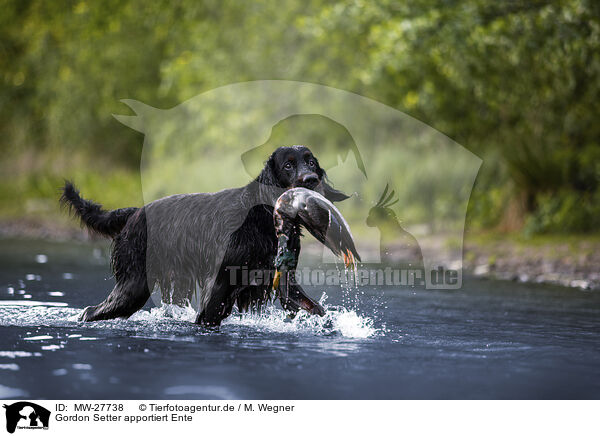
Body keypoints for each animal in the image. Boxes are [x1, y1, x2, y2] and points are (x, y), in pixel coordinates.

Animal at [61, 145, 346, 326]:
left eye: (311, 162)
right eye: (288, 165)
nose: (311, 180)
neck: (265, 216)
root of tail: (135, 212)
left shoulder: (285, 282)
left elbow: (315, 309)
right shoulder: (218, 286)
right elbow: (207, 317)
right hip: (133, 285)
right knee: (91, 311)